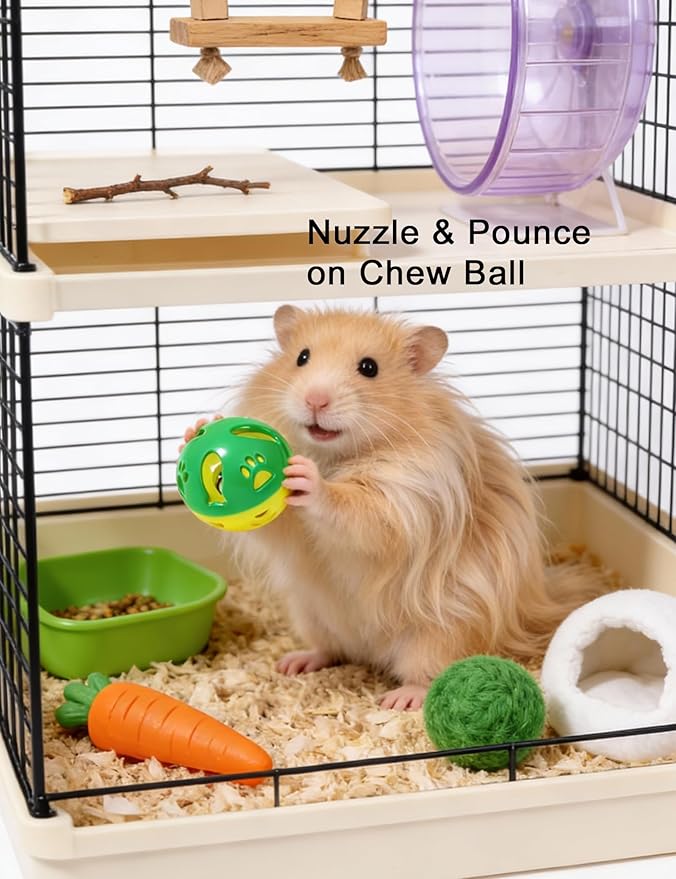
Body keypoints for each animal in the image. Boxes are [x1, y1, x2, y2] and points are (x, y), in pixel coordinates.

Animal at [188, 305, 602, 710]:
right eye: (301, 357)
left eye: (369, 367)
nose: (315, 401)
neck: (331, 454)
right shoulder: (288, 530)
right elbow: (274, 526)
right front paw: (195, 431)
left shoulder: (404, 500)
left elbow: (357, 512)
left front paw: (305, 478)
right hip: (310, 615)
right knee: (332, 650)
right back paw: (294, 663)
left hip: (439, 633)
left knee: (428, 672)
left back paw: (400, 699)